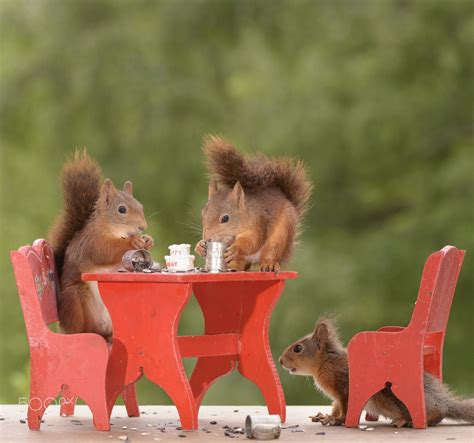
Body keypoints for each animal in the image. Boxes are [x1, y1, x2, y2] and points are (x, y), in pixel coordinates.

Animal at [48, 151, 153, 342]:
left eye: (141, 206)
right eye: (121, 209)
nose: (142, 227)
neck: (112, 230)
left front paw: (147, 240)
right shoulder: (92, 243)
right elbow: (105, 252)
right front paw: (132, 242)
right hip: (75, 299)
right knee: (79, 327)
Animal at [194, 135, 312, 272]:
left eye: (225, 218)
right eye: (202, 215)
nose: (207, 238)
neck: (246, 214)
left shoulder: (258, 223)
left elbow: (252, 241)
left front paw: (236, 247)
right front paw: (200, 246)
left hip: (281, 235)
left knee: (271, 253)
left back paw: (269, 264)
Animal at [280, 318, 474, 428]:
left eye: (298, 348)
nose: (281, 361)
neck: (326, 362)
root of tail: (442, 400)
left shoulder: (344, 387)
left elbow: (345, 407)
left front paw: (337, 420)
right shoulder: (337, 396)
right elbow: (336, 406)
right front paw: (326, 416)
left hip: (389, 397)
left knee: (438, 412)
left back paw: (406, 421)